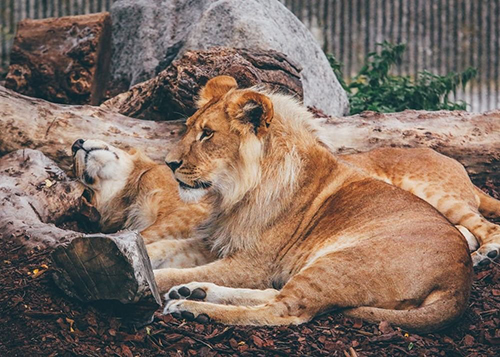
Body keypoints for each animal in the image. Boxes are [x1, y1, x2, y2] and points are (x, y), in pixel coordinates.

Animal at [70, 75, 500, 330]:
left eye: (208, 134)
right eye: (190, 128)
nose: (171, 163)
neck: (236, 191)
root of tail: (459, 281)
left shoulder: (252, 264)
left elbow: (165, 272)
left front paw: (144, 281)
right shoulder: (216, 242)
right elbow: (159, 249)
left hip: (339, 261)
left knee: (284, 311)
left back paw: (191, 306)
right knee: (276, 295)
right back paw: (197, 292)